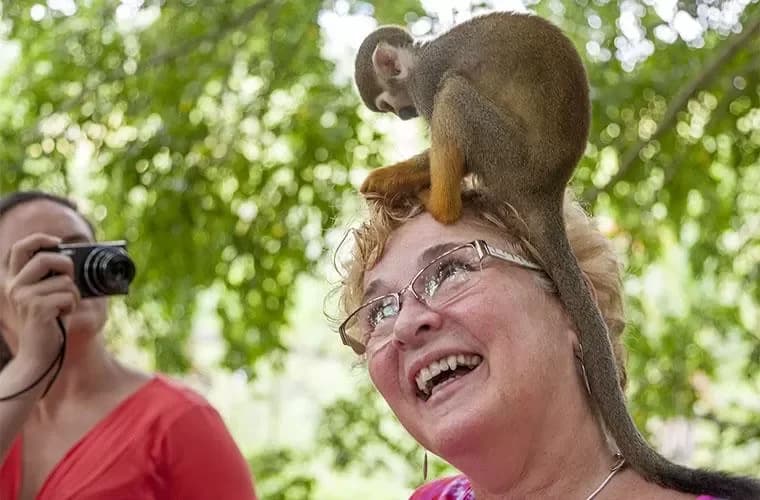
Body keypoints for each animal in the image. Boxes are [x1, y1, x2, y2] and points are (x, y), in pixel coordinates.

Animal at [354, 11, 760, 499]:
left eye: (387, 102)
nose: (402, 113)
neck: (419, 57)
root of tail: (545, 190)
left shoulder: (426, 80)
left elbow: (443, 105)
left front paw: (401, 177)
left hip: (507, 157)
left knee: (455, 94)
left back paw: (442, 204)